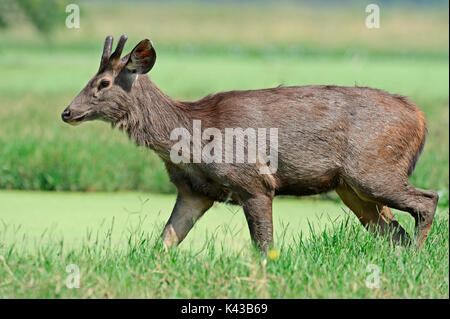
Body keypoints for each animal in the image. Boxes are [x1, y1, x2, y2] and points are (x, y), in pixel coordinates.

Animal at [61, 35, 438, 252]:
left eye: (104, 83)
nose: (67, 112)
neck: (191, 139)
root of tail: (420, 117)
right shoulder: (194, 191)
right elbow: (164, 242)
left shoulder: (254, 181)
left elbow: (264, 248)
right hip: (351, 187)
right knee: (394, 232)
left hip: (373, 168)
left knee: (428, 200)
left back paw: (418, 257)